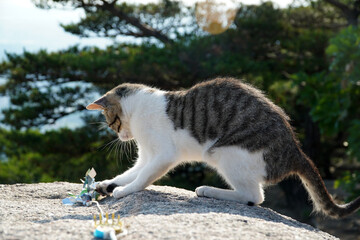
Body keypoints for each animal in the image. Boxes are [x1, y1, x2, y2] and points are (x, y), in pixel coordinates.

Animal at [87, 77, 360, 218]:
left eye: (111, 123)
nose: (122, 136)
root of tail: (294, 150)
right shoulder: (146, 156)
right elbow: (131, 172)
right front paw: (106, 184)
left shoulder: (163, 154)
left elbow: (142, 177)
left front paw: (123, 191)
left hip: (225, 151)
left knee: (254, 197)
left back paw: (209, 190)